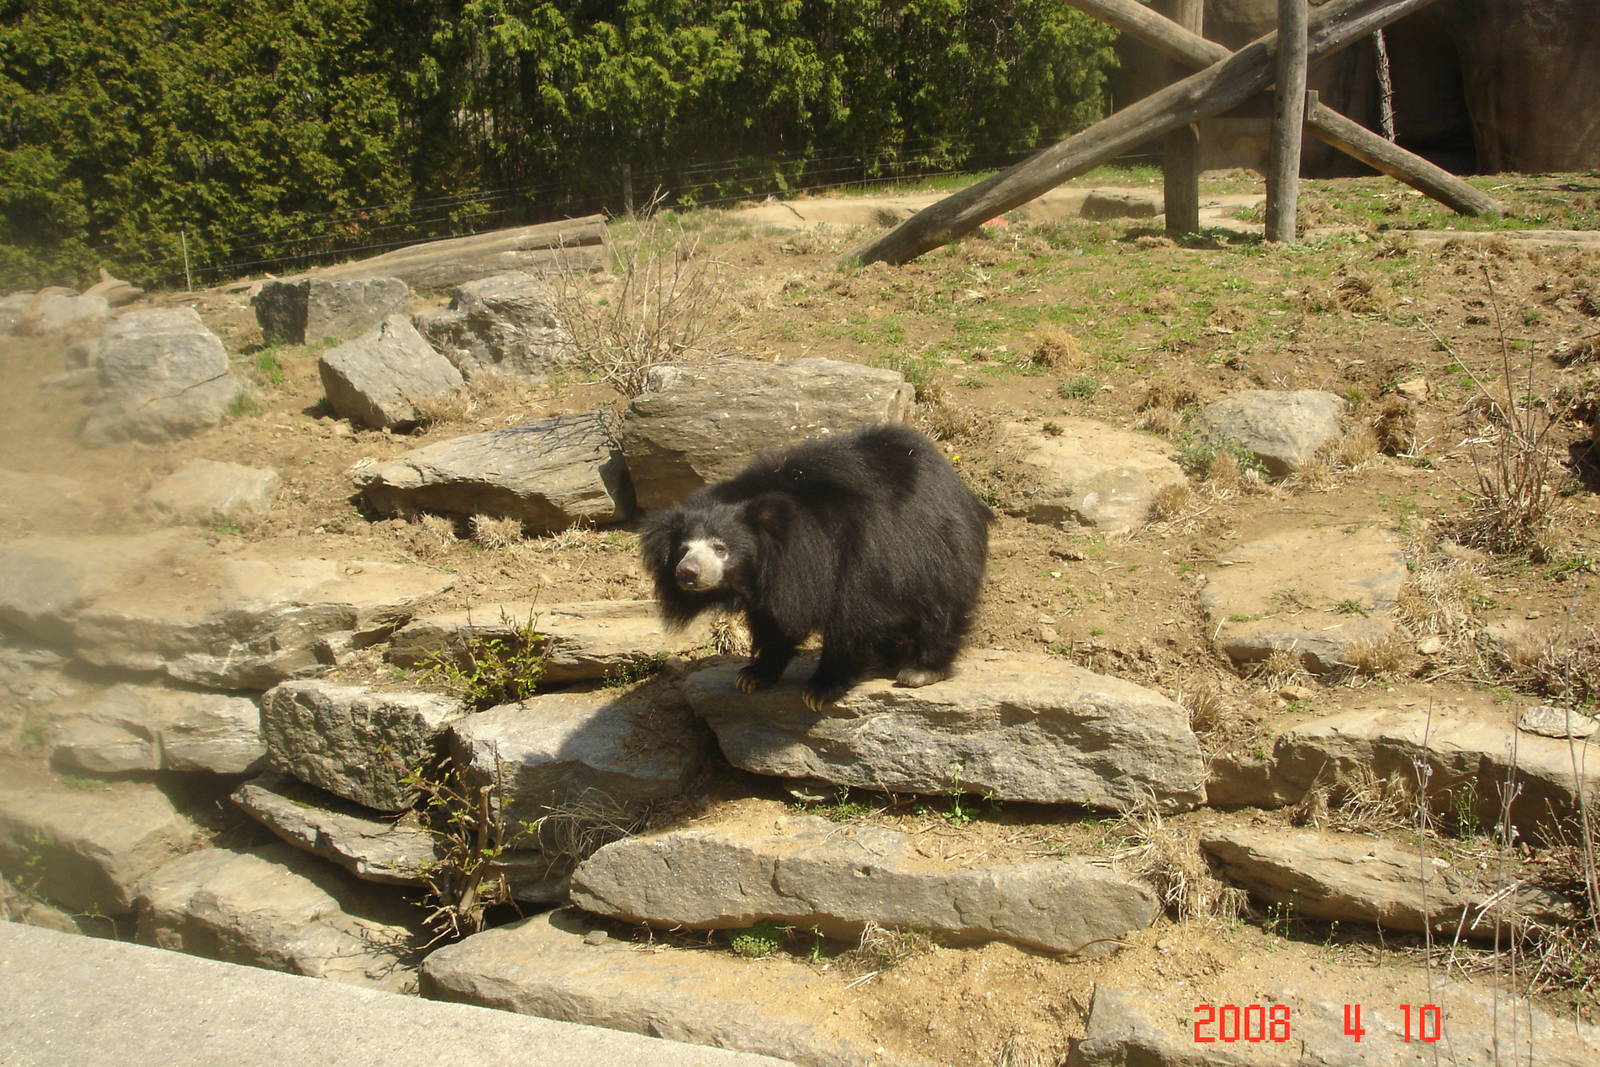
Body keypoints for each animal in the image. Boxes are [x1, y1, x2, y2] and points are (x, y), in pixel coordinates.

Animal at [640, 422, 992, 711]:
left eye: (720, 548)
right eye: (683, 549)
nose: (687, 573)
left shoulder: (853, 552)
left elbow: (854, 617)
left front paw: (820, 689)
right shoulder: (774, 582)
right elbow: (773, 623)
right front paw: (753, 675)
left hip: (937, 548)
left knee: (941, 607)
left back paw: (921, 669)